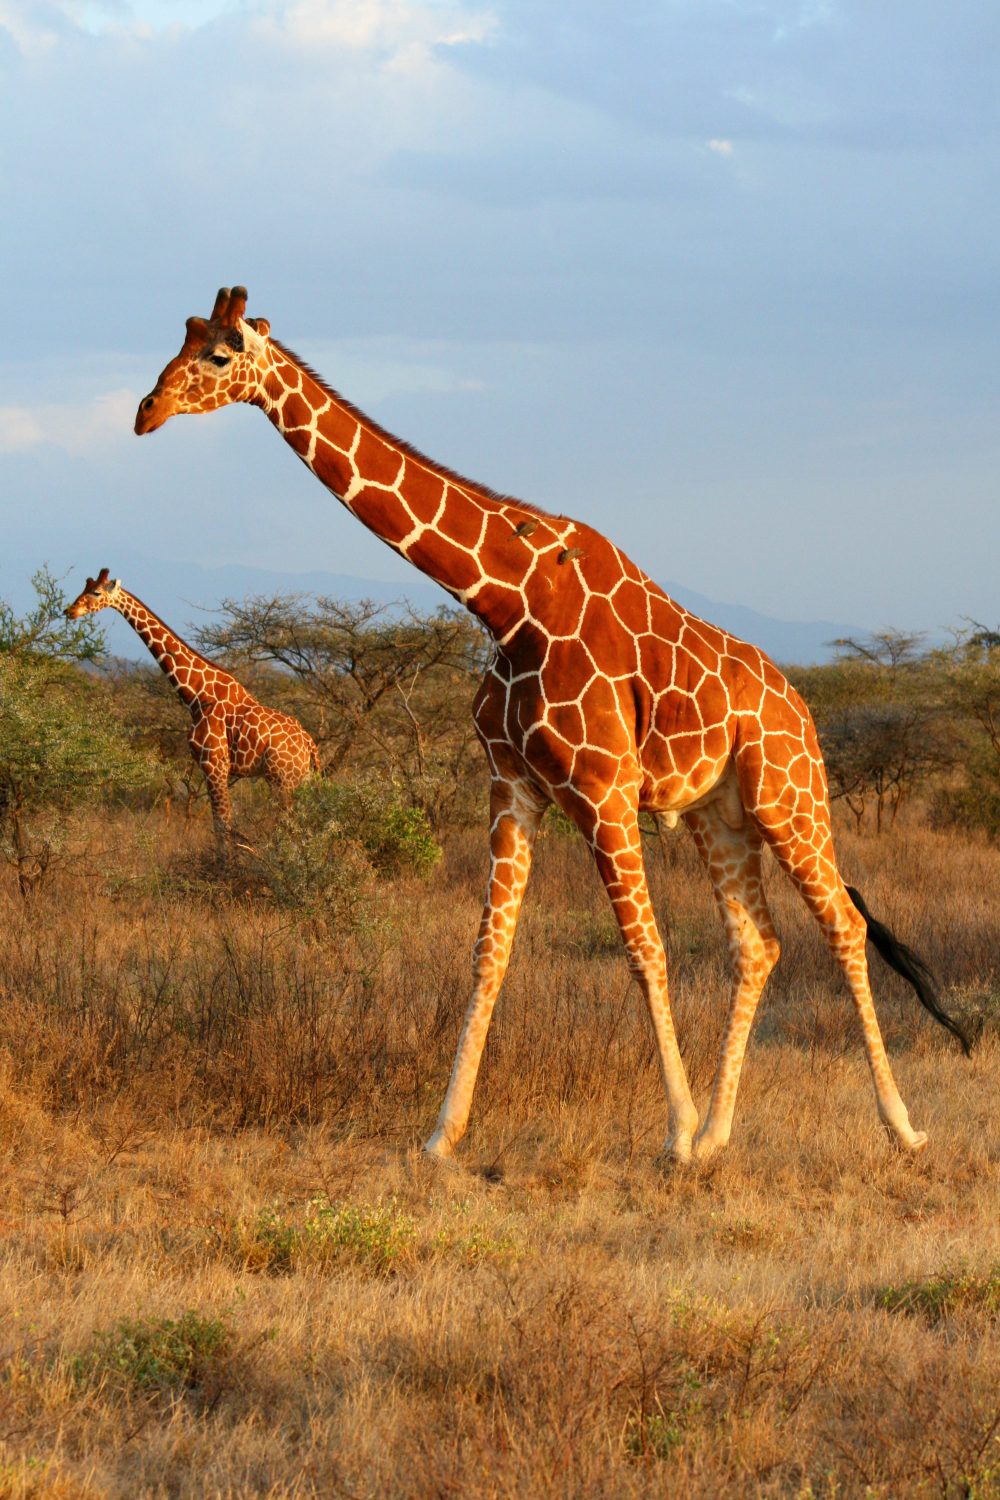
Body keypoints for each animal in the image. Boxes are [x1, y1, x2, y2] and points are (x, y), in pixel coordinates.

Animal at [65, 568, 320, 851]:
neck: (197, 696)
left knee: (292, 827)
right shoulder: (212, 767)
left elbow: (222, 825)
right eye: (84, 587)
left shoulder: (214, 764)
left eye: (96, 592)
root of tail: (309, 744)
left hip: (282, 780)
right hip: (299, 780)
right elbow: (222, 824)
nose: (69, 611)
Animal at [134, 285, 970, 1164]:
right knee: (760, 943)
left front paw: (672, 1133)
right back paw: (720, 1134)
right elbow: (488, 954)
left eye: (217, 355)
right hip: (721, 814)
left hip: (789, 796)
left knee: (843, 923)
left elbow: (645, 951)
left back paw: (899, 1126)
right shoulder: (512, 786)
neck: (509, 602)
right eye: (179, 342)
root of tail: (800, 706)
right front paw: (443, 1136)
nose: (145, 412)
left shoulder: (603, 791)